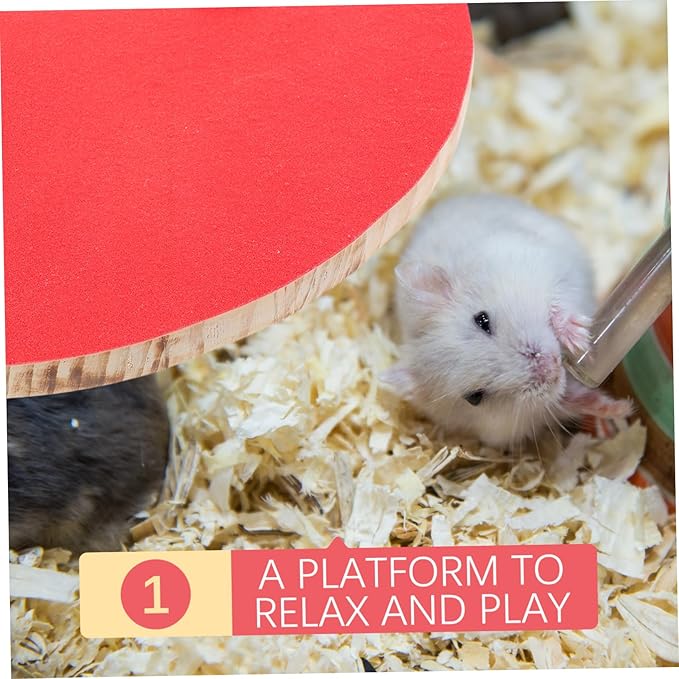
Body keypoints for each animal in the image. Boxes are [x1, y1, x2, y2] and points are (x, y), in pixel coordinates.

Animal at [384, 193, 632, 450]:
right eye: (475, 397)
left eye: (482, 320)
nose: (549, 366)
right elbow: (568, 399)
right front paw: (621, 408)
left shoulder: (542, 264)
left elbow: (557, 302)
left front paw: (578, 339)